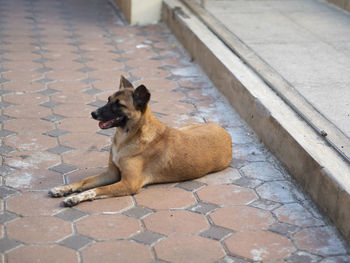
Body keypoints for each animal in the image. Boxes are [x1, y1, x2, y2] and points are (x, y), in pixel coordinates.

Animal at [47, 75, 231, 207]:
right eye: (108, 99)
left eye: (119, 105)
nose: (93, 113)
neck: (125, 138)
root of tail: (225, 132)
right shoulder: (112, 173)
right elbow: (84, 181)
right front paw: (64, 189)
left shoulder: (129, 183)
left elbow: (96, 189)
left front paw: (76, 197)